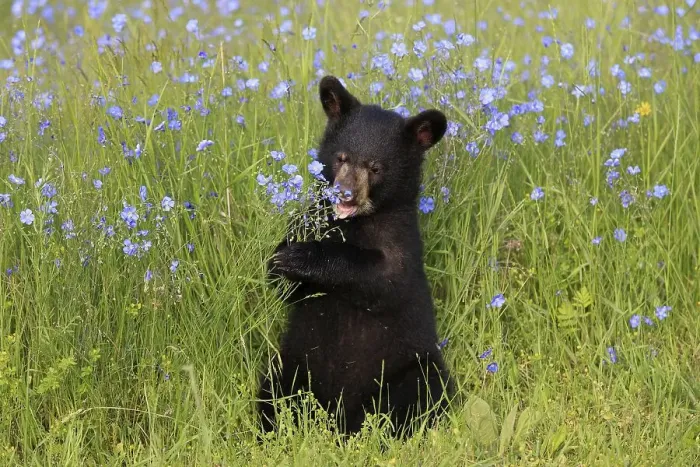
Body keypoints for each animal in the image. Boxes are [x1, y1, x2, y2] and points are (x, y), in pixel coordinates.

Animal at [257, 75, 454, 438]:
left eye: (375, 167)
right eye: (341, 158)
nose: (344, 194)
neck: (356, 224)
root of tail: (340, 417)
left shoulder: (402, 245)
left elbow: (384, 277)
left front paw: (303, 257)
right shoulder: (309, 220)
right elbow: (283, 285)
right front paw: (282, 258)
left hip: (411, 368)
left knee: (422, 393)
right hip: (294, 363)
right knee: (276, 392)